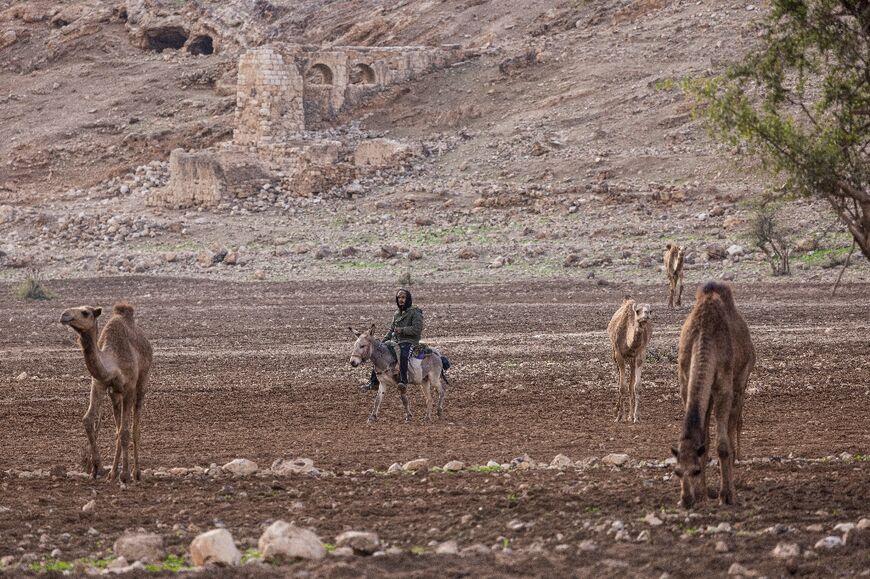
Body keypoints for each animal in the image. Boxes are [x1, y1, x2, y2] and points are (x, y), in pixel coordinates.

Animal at [60, 303, 152, 483]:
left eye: (85, 313)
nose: (64, 315)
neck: (113, 363)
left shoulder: (129, 388)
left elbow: (125, 432)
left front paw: (125, 475)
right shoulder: (99, 383)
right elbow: (88, 420)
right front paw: (97, 468)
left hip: (141, 384)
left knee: (135, 428)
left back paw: (136, 473)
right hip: (115, 395)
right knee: (117, 429)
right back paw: (113, 473)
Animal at [672, 282, 755, 509]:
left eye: (695, 470)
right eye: (677, 472)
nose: (686, 500)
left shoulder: (723, 388)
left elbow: (722, 445)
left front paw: (727, 495)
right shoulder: (685, 384)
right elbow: (704, 441)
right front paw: (702, 494)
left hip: (741, 381)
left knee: (735, 422)